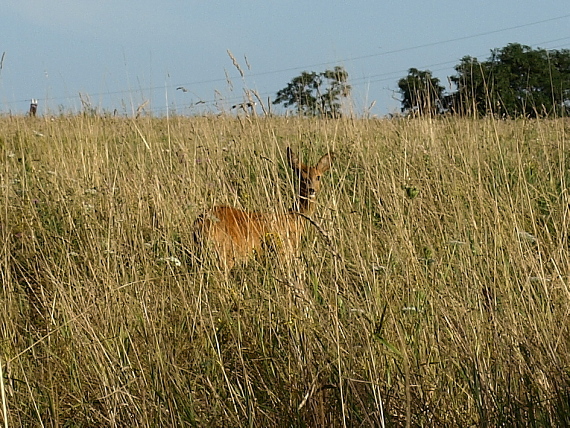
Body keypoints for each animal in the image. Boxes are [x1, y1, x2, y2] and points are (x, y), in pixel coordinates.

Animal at [192, 147, 332, 270]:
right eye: (301, 177)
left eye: (318, 176)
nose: (311, 190)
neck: (293, 218)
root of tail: (199, 223)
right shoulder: (283, 251)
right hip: (225, 253)